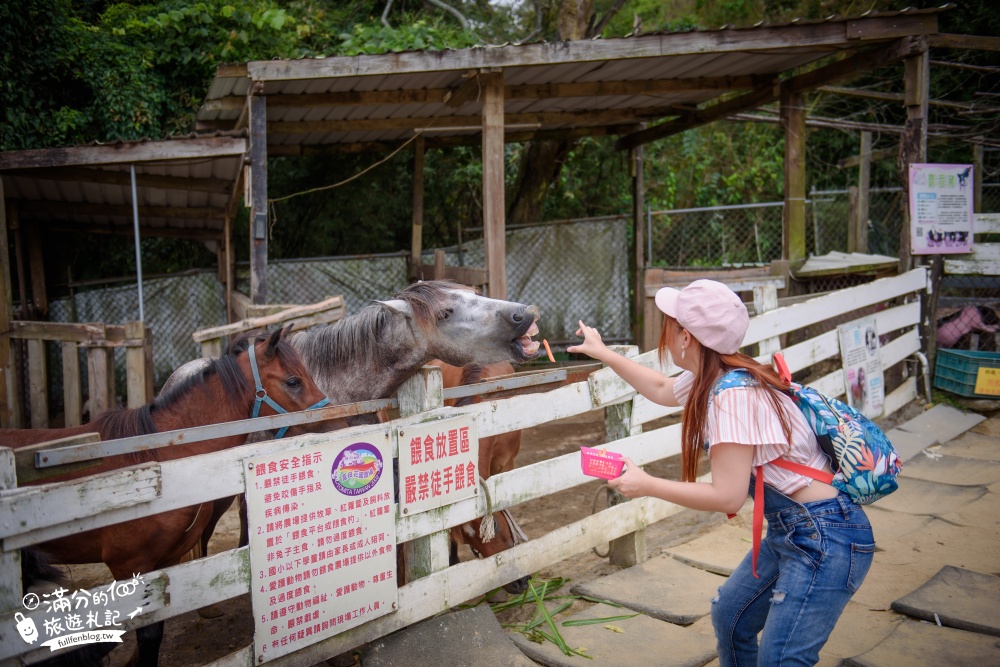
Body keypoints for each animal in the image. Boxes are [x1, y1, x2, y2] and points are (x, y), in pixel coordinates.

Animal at [3, 328, 336, 667]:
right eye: (293, 381)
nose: (340, 423)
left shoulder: (164, 562)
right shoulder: (129, 567)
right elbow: (149, 635)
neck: (160, 461)